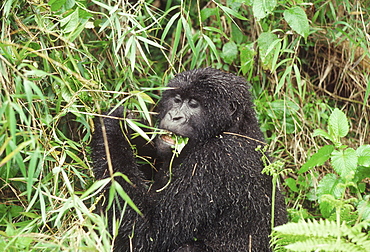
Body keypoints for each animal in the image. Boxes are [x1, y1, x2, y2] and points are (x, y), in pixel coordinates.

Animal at [91, 68, 288, 251]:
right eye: (177, 99)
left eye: (194, 104)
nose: (174, 116)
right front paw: (131, 126)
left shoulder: (213, 161)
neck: (231, 127)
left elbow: (148, 233)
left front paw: (111, 125)